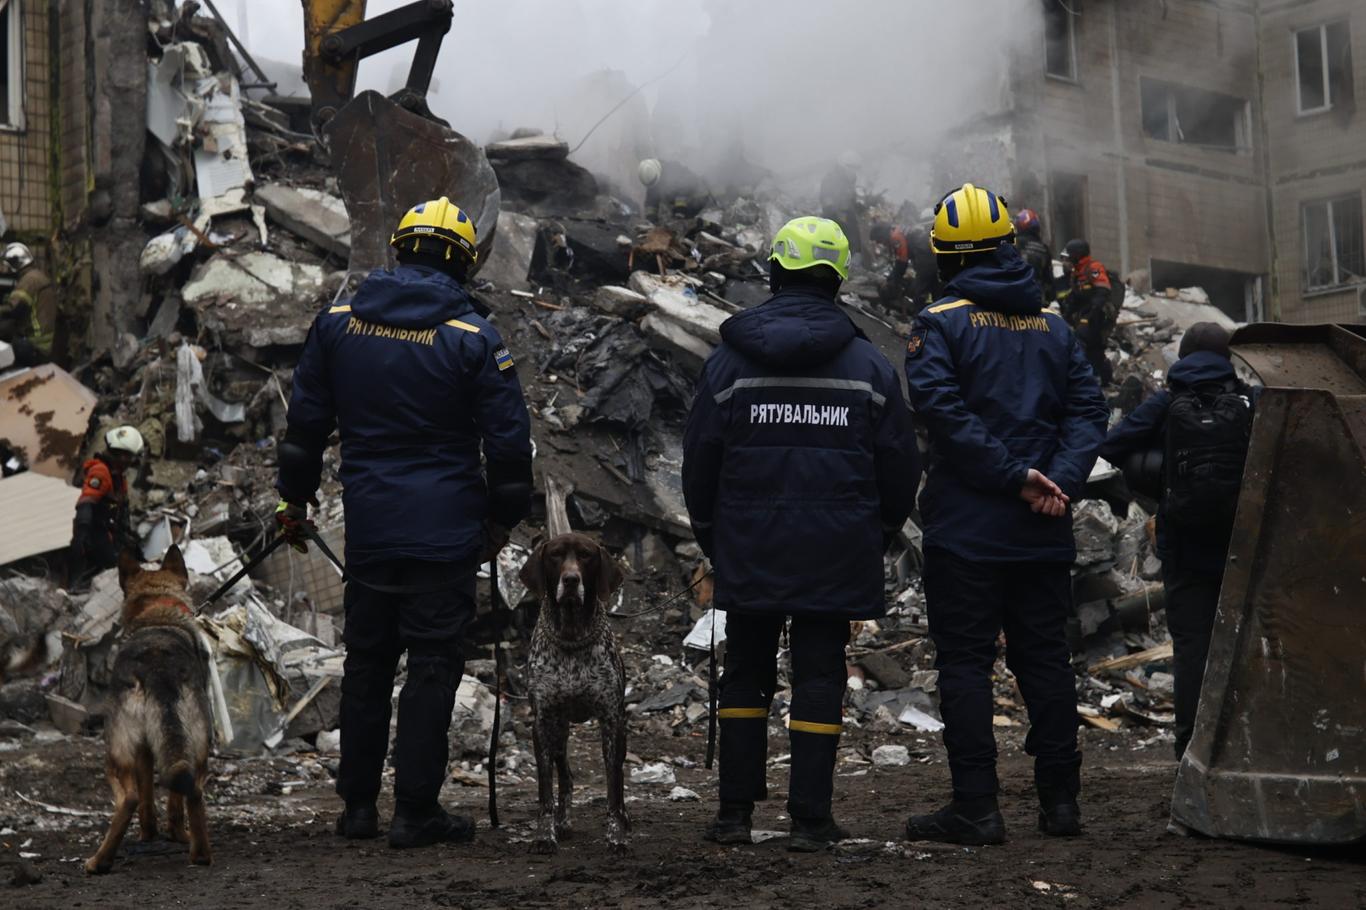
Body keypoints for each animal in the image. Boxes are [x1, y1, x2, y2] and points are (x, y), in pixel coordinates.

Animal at [85, 546, 210, 874]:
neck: (156, 609)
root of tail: (159, 671)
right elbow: (168, 801)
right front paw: (171, 834)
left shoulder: (141, 751)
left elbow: (146, 799)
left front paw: (149, 833)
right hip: (197, 748)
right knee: (193, 791)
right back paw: (200, 853)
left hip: (115, 752)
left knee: (128, 799)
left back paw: (99, 861)